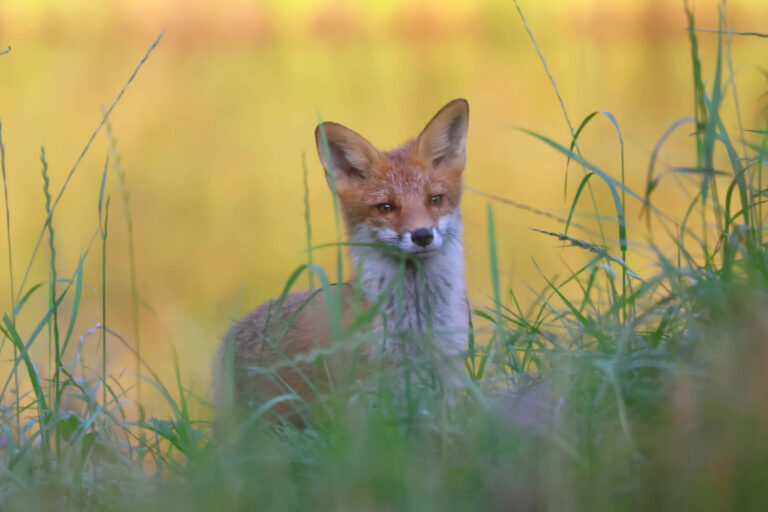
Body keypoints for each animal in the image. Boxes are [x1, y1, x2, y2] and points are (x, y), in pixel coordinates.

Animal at [215, 98, 470, 422]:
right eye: (385, 207)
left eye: (435, 199)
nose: (422, 235)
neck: (416, 329)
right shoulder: (365, 402)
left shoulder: (446, 385)